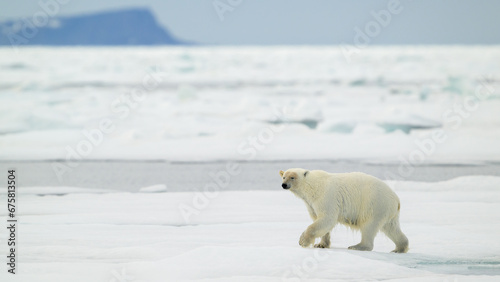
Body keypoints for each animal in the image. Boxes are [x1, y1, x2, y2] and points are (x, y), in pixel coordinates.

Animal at [280, 167, 408, 253]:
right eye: (284, 176)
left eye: (292, 177)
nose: (284, 185)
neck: (312, 186)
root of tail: (396, 199)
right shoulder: (310, 204)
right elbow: (320, 220)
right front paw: (321, 245)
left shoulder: (325, 197)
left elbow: (327, 218)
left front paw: (303, 241)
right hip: (388, 211)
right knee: (391, 228)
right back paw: (399, 248)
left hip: (374, 204)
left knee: (369, 226)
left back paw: (357, 246)